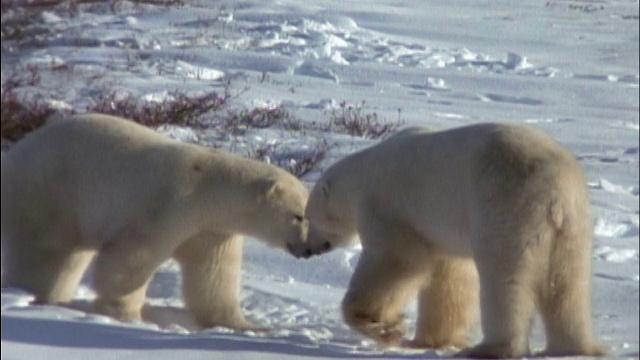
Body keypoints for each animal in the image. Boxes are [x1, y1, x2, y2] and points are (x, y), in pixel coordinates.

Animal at [0, 112, 310, 330]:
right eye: (298, 216)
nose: (308, 249)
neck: (209, 192)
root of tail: (12, 156)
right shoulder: (168, 204)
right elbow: (130, 259)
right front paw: (124, 314)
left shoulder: (212, 230)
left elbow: (213, 274)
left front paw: (246, 325)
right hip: (48, 195)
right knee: (45, 253)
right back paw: (34, 296)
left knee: (71, 257)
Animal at [296, 123, 604, 358]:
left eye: (307, 218)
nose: (307, 249)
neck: (364, 174)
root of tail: (556, 194)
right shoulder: (438, 229)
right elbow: (447, 275)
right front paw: (431, 339)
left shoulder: (388, 208)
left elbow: (395, 261)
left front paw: (383, 326)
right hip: (574, 226)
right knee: (569, 284)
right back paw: (575, 348)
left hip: (507, 210)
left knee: (506, 279)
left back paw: (491, 349)